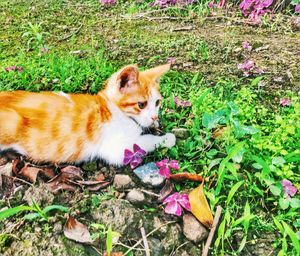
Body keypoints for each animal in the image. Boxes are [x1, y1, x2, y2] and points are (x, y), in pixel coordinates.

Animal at [0, 63, 176, 165]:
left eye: (157, 103)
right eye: (141, 104)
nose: (154, 117)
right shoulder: (116, 149)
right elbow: (144, 141)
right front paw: (167, 138)